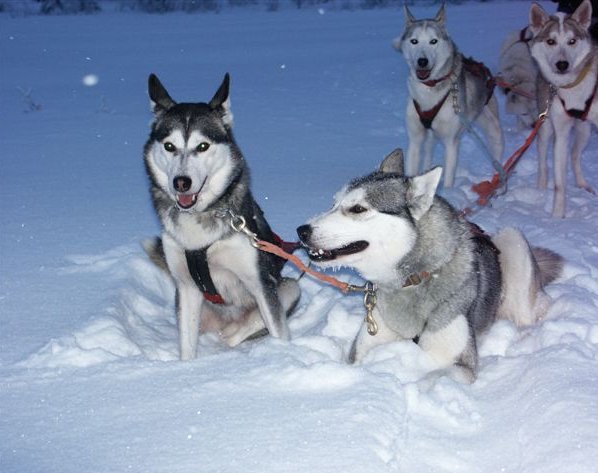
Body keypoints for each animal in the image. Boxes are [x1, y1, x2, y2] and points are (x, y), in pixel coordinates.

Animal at [144, 74, 302, 360]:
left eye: (202, 146)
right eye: (169, 146)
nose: (181, 182)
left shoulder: (260, 282)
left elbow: (277, 328)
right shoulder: (186, 288)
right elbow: (186, 348)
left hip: (289, 287)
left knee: (247, 326)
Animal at [298, 149, 564, 382]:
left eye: (357, 209)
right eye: (333, 204)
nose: (301, 230)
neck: (412, 280)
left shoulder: (461, 365)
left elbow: (430, 377)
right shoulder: (361, 351)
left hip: (513, 241)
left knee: (533, 311)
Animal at [394, 5, 506, 188]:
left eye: (433, 41)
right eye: (414, 41)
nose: (422, 61)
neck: (429, 92)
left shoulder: (451, 143)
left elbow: (448, 180)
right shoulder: (415, 141)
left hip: (493, 131)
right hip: (431, 138)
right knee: (428, 155)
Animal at [532, 0, 596, 218]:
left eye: (572, 41)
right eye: (551, 41)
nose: (562, 64)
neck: (573, 86)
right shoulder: (560, 133)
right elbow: (559, 184)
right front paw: (557, 217)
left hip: (585, 132)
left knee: (575, 157)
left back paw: (583, 184)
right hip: (545, 127)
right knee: (543, 161)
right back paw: (540, 189)